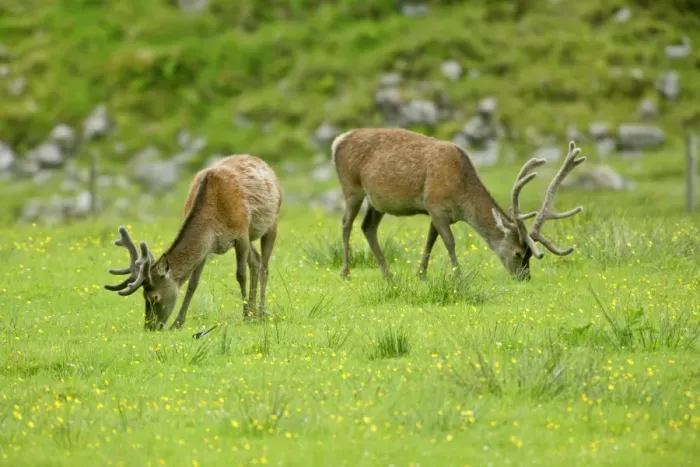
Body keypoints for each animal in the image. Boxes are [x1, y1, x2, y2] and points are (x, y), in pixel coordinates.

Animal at [104, 154, 282, 331]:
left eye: (154, 297)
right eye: (143, 296)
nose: (150, 327)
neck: (215, 220)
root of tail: (263, 163)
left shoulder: (241, 233)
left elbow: (240, 275)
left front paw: (246, 316)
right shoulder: (207, 248)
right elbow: (192, 284)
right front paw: (177, 323)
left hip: (271, 223)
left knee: (264, 266)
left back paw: (260, 312)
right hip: (251, 237)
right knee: (256, 261)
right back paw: (255, 312)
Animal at [331, 127, 586, 282]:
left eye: (530, 255)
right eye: (518, 253)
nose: (524, 278)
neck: (462, 198)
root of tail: (337, 141)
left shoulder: (437, 211)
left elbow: (431, 240)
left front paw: (420, 274)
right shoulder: (435, 204)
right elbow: (449, 242)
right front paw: (458, 276)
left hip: (377, 201)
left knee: (367, 226)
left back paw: (388, 274)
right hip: (352, 187)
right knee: (346, 223)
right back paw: (345, 271)